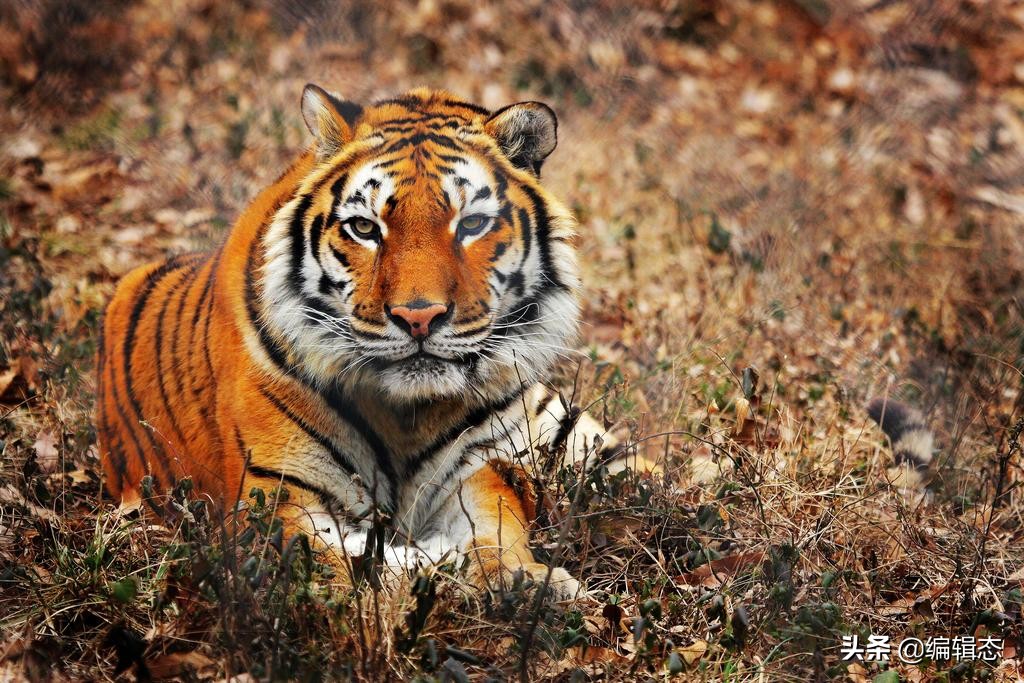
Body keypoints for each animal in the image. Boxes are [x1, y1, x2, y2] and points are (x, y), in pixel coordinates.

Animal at [96, 85, 624, 600]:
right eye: (365, 228)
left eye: (472, 224)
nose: (419, 317)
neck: (409, 416)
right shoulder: (276, 494)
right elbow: (332, 567)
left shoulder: (478, 470)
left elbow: (496, 528)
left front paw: (528, 581)